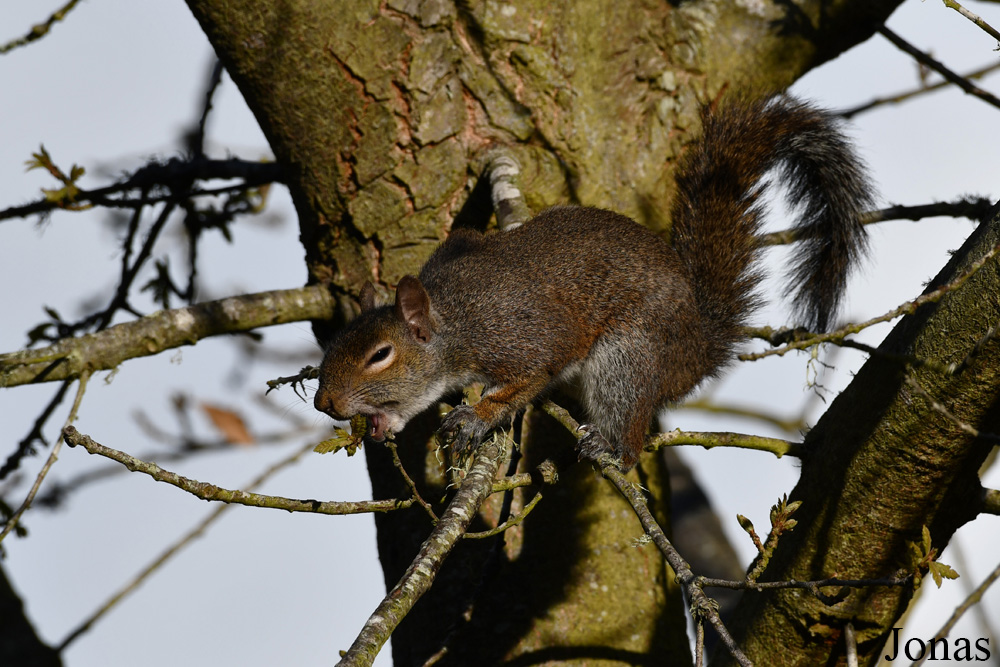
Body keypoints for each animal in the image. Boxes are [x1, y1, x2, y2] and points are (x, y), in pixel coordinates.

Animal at [312, 94, 876, 472]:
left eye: (380, 355)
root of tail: (697, 348)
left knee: (628, 434)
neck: (453, 317)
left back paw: (610, 446)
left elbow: (528, 374)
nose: (324, 404)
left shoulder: (523, 335)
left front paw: (476, 416)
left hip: (629, 356)